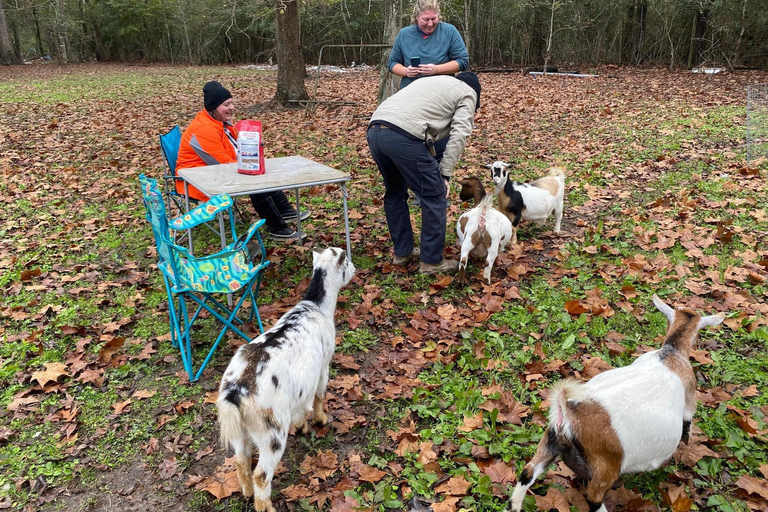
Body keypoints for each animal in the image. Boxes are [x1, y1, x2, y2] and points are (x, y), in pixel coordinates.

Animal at [218, 248, 356, 512]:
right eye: (346, 262)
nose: (355, 269)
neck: (316, 307)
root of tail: (235, 393)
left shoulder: (301, 384)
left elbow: (301, 406)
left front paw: (301, 426)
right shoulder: (322, 367)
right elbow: (319, 396)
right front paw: (320, 420)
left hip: (240, 429)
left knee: (241, 459)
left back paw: (246, 491)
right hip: (271, 431)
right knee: (262, 473)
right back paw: (266, 506)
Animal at [510, 294, 728, 512]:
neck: (670, 354)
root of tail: (569, 411)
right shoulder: (689, 397)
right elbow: (688, 419)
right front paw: (687, 441)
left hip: (550, 441)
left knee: (527, 472)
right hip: (606, 463)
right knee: (594, 496)